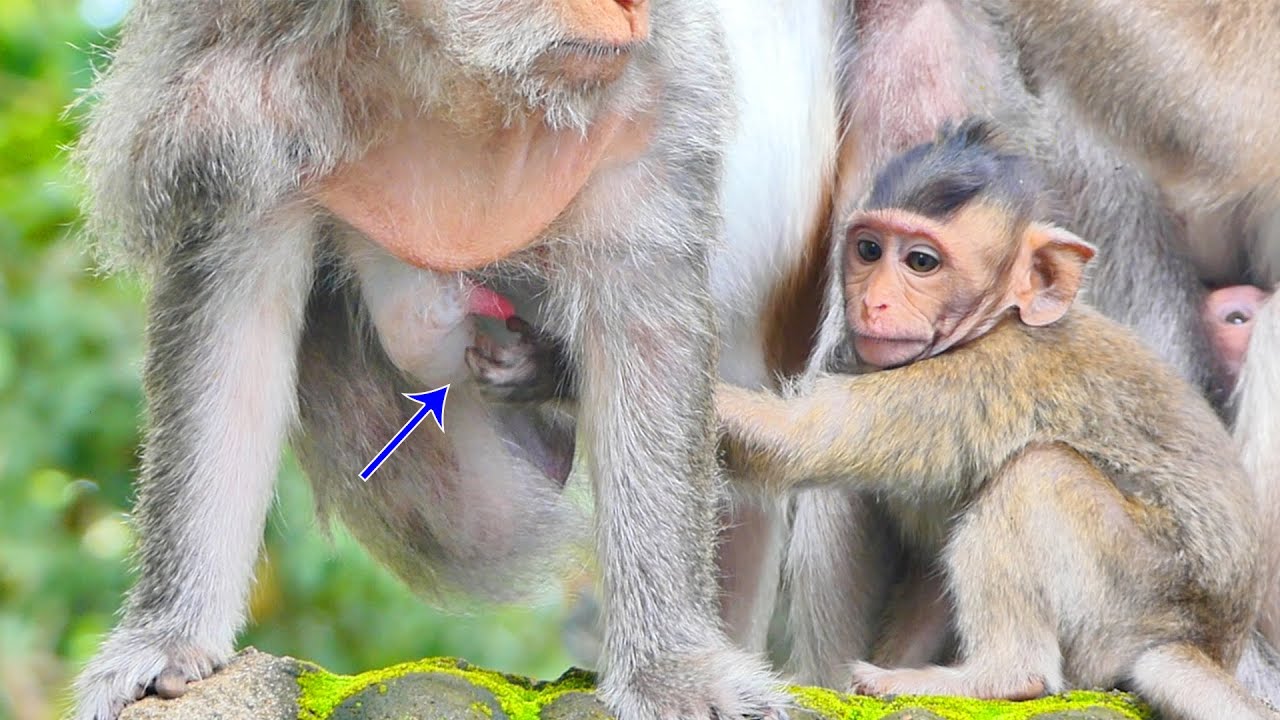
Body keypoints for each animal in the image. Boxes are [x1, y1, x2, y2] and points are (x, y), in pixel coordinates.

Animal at [68, 2, 854, 718]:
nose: (631, 7)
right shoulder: (230, 73)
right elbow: (233, 319)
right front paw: (169, 637)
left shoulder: (653, 88)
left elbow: (644, 316)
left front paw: (674, 670)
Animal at [715, 120, 1279, 719]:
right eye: (868, 250)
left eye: (921, 262)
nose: (874, 304)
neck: (996, 322)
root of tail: (1202, 642)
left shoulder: (971, 382)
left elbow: (799, 440)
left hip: (1135, 599)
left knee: (1038, 475)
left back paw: (1000, 677)